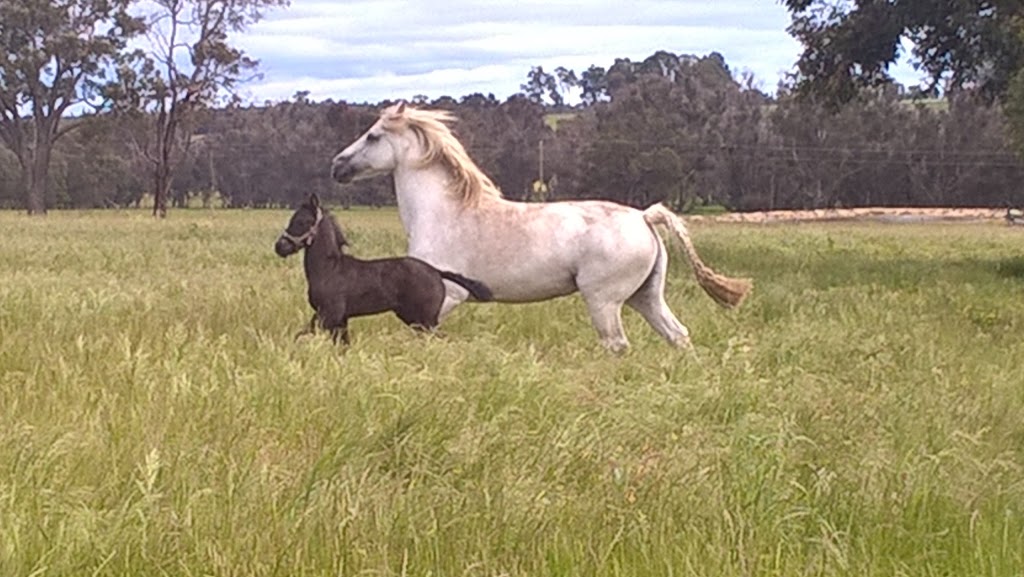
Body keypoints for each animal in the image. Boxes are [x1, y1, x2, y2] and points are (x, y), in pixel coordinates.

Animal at [329, 101, 753, 352]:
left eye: (373, 136)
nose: (337, 165)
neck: (445, 214)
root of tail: (644, 216)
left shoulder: (446, 297)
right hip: (645, 297)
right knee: (677, 335)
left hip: (604, 301)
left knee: (618, 345)